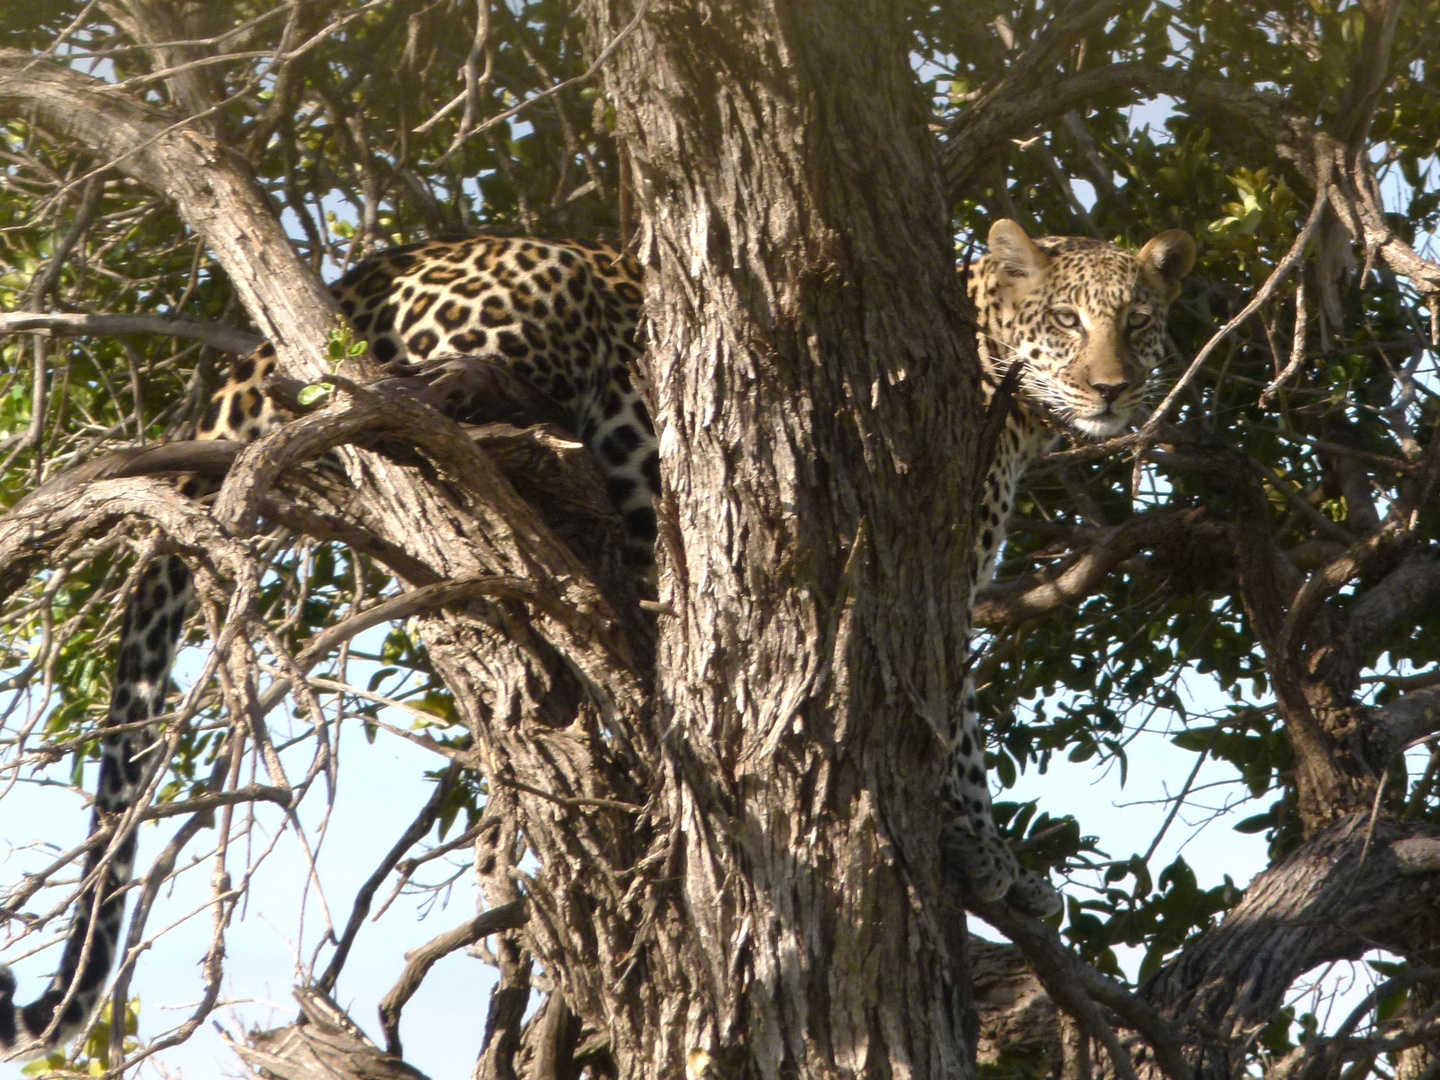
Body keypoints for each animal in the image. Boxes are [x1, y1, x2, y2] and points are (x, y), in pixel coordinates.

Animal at [0, 220, 1192, 1059]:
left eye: (1138, 323)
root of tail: (339, 286)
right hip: (541, 304)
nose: (1114, 387)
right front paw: (991, 860)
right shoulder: (927, 582)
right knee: (445, 396)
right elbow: (957, 741)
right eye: (1068, 322)